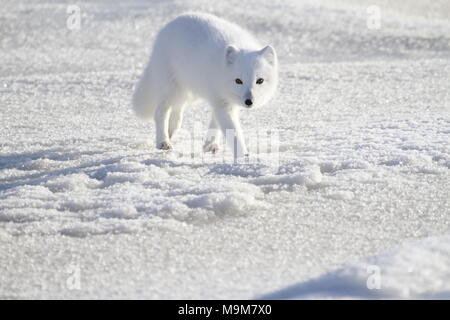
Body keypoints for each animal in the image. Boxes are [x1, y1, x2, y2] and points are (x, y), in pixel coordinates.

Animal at [131, 12, 278, 156]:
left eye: (259, 81)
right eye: (238, 81)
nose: (249, 101)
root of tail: (170, 24)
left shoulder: (223, 100)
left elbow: (215, 122)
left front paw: (210, 145)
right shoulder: (222, 102)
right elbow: (232, 131)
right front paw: (243, 156)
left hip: (186, 92)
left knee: (177, 111)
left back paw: (171, 131)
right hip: (169, 88)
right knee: (160, 112)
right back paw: (163, 142)